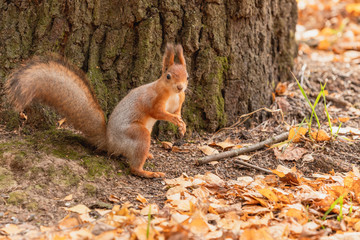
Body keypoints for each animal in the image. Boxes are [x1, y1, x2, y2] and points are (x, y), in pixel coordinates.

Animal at [5, 43, 188, 178]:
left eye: (187, 76)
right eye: (168, 76)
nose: (180, 87)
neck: (172, 94)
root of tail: (110, 142)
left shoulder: (179, 101)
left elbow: (177, 112)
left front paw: (182, 125)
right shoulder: (153, 100)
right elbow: (158, 113)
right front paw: (174, 120)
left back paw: (148, 156)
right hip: (138, 134)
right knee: (134, 167)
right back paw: (148, 172)